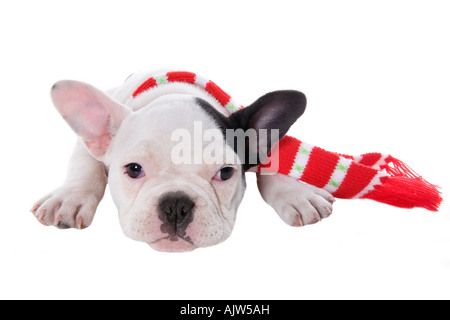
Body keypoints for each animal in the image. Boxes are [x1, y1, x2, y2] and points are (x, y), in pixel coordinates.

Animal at [31, 71, 332, 251]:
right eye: (134, 170)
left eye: (225, 173)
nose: (175, 205)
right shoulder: (91, 143)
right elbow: (85, 165)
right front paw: (69, 199)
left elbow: (274, 161)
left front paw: (295, 193)